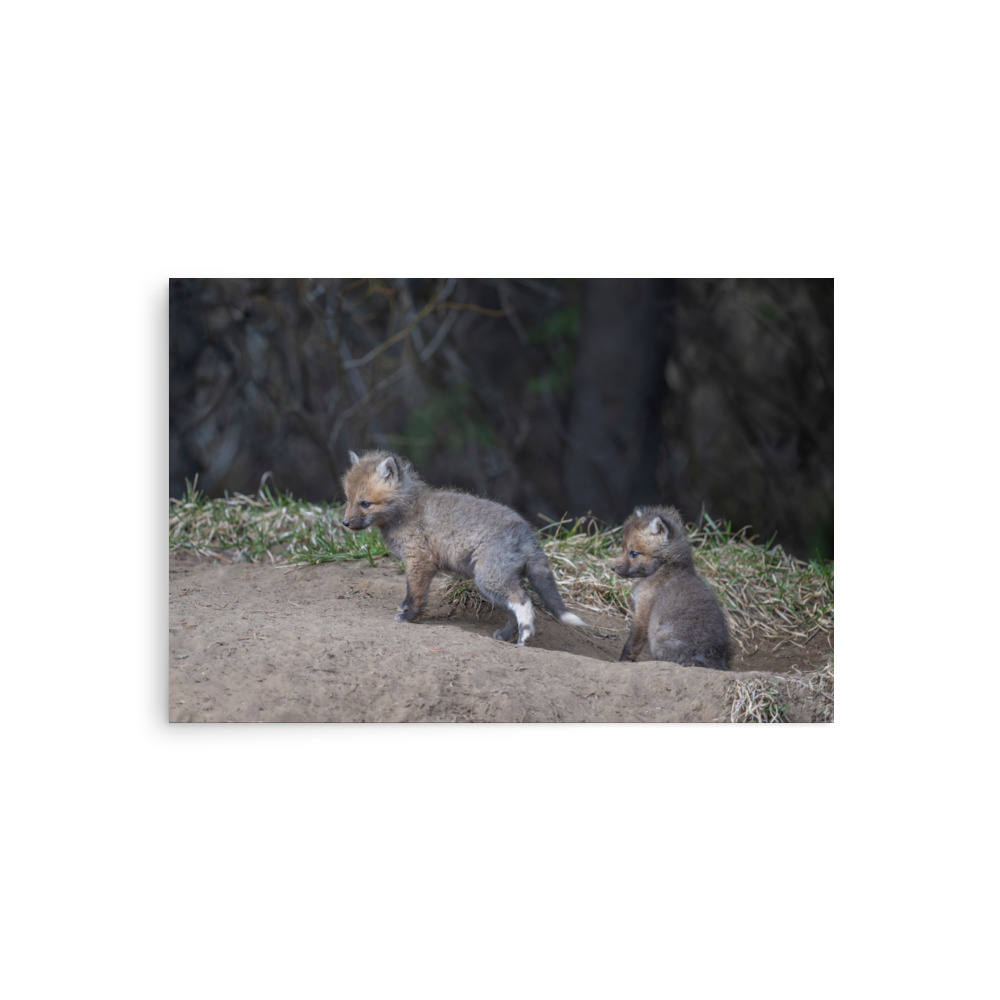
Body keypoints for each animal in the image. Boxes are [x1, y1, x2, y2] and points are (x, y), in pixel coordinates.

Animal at [341, 449, 586, 646]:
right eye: (348, 500)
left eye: (365, 503)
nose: (344, 523)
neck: (407, 510)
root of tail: (528, 534)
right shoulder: (416, 563)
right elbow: (410, 591)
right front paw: (405, 608)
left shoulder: (420, 560)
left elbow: (416, 594)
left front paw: (410, 617)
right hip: (500, 580)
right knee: (512, 608)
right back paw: (507, 636)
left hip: (488, 578)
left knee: (523, 600)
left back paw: (525, 636)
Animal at [611, 505, 731, 670]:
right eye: (622, 548)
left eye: (633, 553)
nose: (612, 567)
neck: (666, 566)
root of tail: (715, 663)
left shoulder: (643, 612)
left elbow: (631, 644)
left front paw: (621, 662)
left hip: (658, 642)